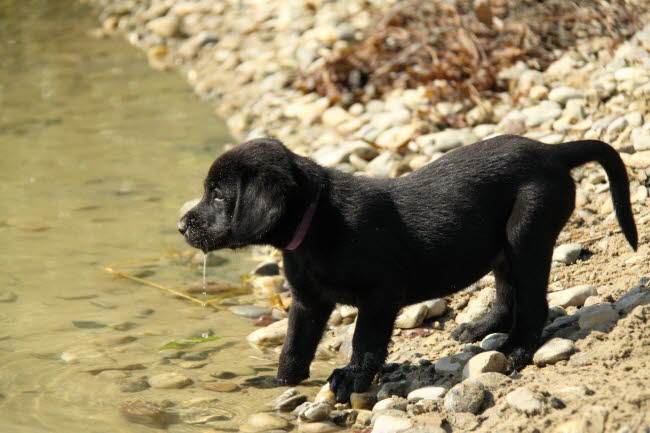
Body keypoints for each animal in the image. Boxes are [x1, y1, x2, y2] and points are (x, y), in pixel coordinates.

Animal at [177, 134, 632, 402]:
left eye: (218, 196)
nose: (181, 226)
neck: (316, 221)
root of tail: (551, 152)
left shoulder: (381, 294)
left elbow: (364, 341)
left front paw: (350, 379)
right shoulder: (308, 302)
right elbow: (293, 348)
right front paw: (280, 384)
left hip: (527, 234)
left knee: (533, 303)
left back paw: (516, 350)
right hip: (503, 247)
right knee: (507, 292)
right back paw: (479, 328)